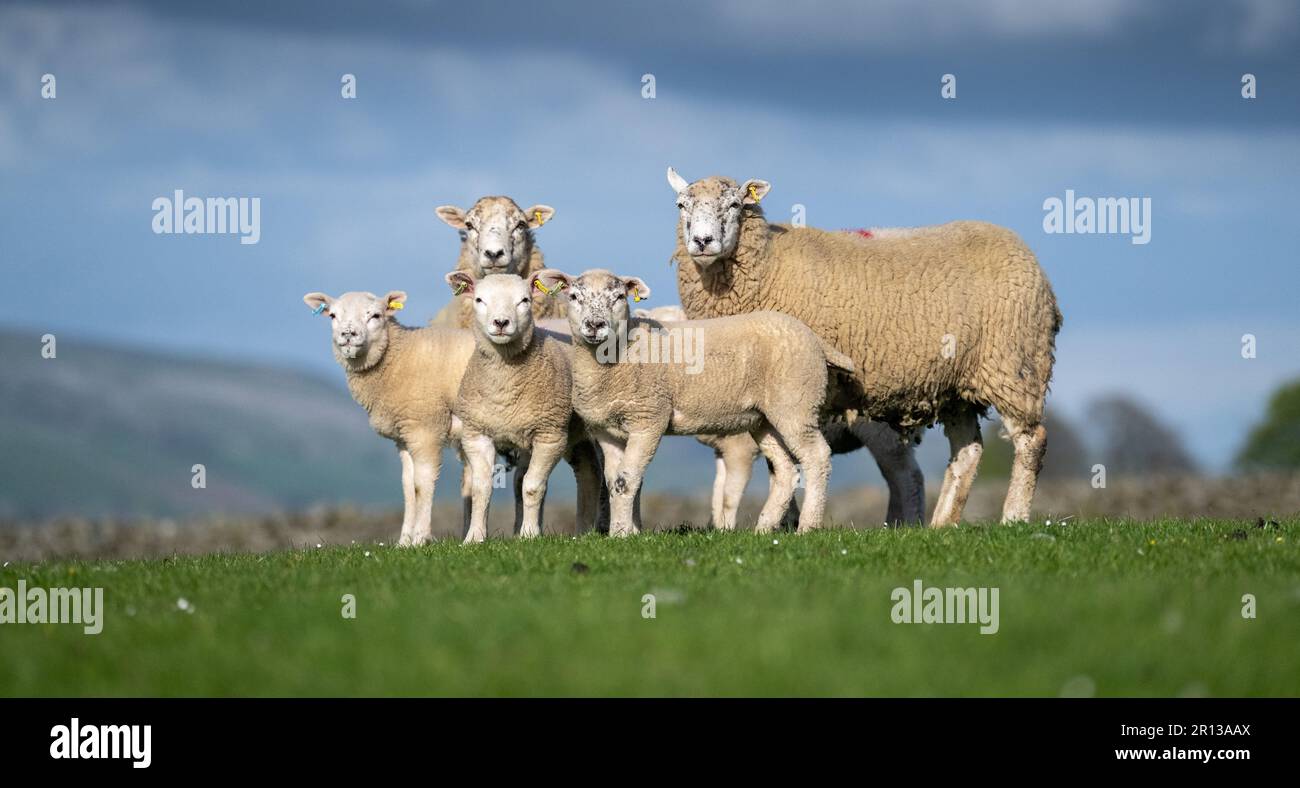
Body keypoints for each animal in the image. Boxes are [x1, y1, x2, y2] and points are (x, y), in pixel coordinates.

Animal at [302, 289, 475, 546]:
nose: (348, 335)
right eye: (332, 315)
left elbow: (422, 483)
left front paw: (420, 538)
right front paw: (404, 542)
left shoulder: (425, 428)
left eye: (375, 315)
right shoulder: (403, 436)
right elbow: (408, 487)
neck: (399, 356)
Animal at [444, 270, 605, 543]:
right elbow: (481, 487)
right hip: (574, 433)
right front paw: (474, 537)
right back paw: (583, 532)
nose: (500, 322)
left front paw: (529, 534)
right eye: (479, 300)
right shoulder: (476, 434)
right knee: (588, 471)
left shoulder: (549, 435)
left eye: (524, 300)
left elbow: (531, 486)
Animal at [537, 267, 854, 536]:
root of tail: (813, 337)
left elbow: (627, 481)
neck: (618, 353)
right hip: (765, 417)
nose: (595, 325)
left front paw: (622, 534)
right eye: (574, 297)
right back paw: (764, 529)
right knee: (786, 469)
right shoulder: (606, 429)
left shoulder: (649, 418)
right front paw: (622, 533)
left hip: (796, 402)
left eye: (618, 297)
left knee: (816, 457)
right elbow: (616, 483)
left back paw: (808, 527)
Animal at [666, 167, 1063, 525]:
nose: (702, 242)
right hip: (955, 386)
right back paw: (941, 524)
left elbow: (784, 465)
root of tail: (1023, 251)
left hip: (1015, 364)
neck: (768, 265)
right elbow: (780, 464)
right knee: (967, 451)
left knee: (1031, 440)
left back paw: (1013, 517)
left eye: (734, 204)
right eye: (681, 204)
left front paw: (789, 521)